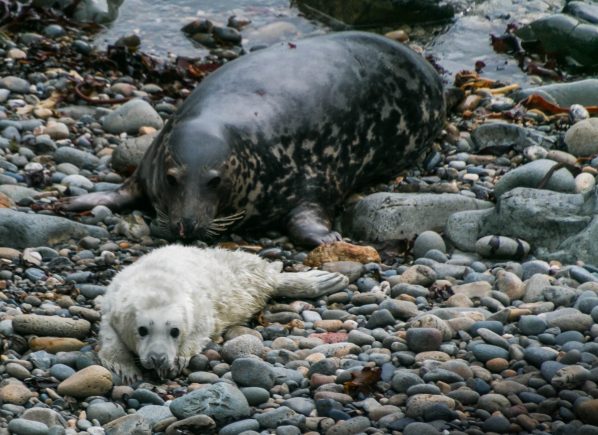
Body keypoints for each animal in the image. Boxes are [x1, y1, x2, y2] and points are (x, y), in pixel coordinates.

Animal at [62, 31, 446, 245]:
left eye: (214, 180)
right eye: (172, 179)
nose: (187, 224)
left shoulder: (319, 178)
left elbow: (304, 216)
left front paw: (327, 236)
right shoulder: (150, 165)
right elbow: (125, 189)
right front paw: (74, 202)